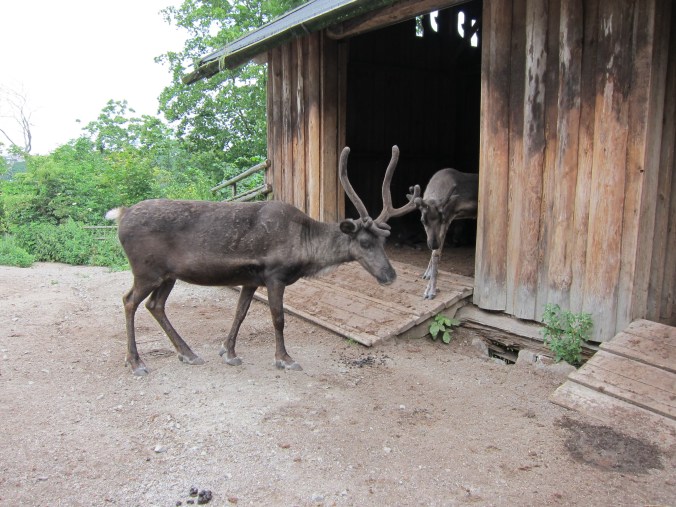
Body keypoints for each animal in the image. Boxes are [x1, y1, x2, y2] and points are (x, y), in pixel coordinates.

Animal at [106, 146, 420, 375]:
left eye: (383, 241)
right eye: (365, 243)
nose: (390, 275)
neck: (305, 243)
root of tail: (121, 214)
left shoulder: (250, 279)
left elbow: (240, 313)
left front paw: (229, 352)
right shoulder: (274, 275)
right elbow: (278, 318)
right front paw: (284, 358)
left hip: (167, 275)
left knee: (155, 305)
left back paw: (188, 353)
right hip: (146, 271)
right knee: (129, 301)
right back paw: (136, 362)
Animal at [415, 168, 478, 299]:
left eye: (442, 219)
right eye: (422, 220)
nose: (433, 244)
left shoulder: (448, 219)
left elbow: (436, 254)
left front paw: (430, 291)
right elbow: (435, 254)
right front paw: (428, 274)